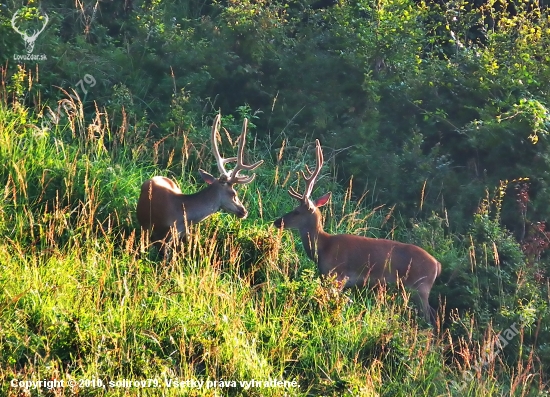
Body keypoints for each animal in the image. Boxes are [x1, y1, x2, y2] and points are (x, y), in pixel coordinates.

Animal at [276, 141, 444, 324]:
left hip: (420, 287)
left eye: (297, 212)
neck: (322, 247)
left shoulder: (338, 275)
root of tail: (437, 265)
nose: (277, 221)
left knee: (429, 317)